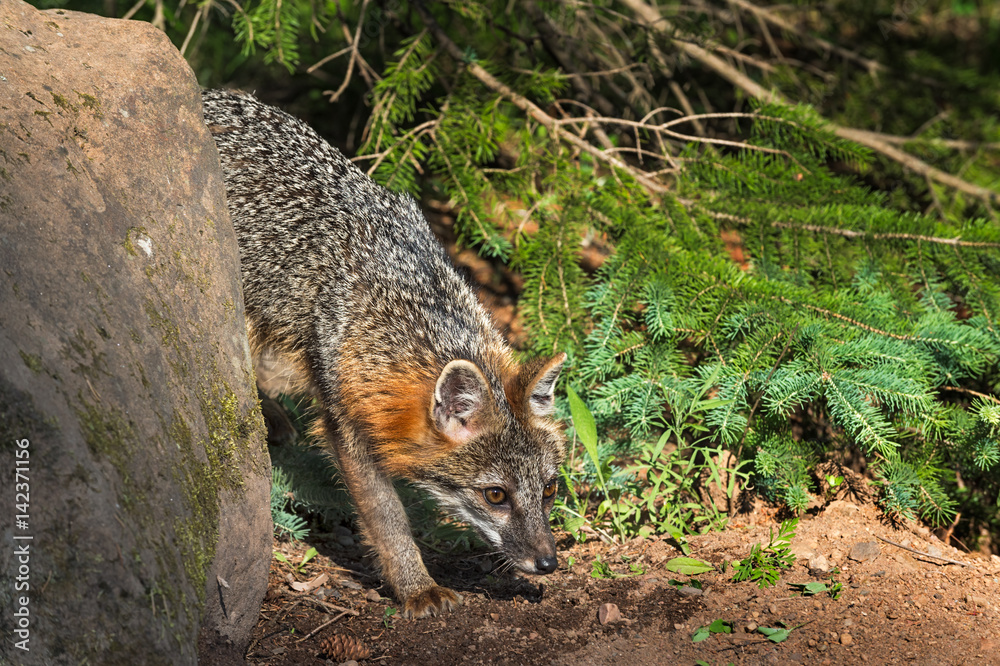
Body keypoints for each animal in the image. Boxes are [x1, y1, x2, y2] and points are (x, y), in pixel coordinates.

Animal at [200, 89, 567, 618]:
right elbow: (386, 516)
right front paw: (416, 586)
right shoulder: (345, 415)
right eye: (495, 495)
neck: (403, 295)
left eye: (550, 489)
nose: (547, 563)